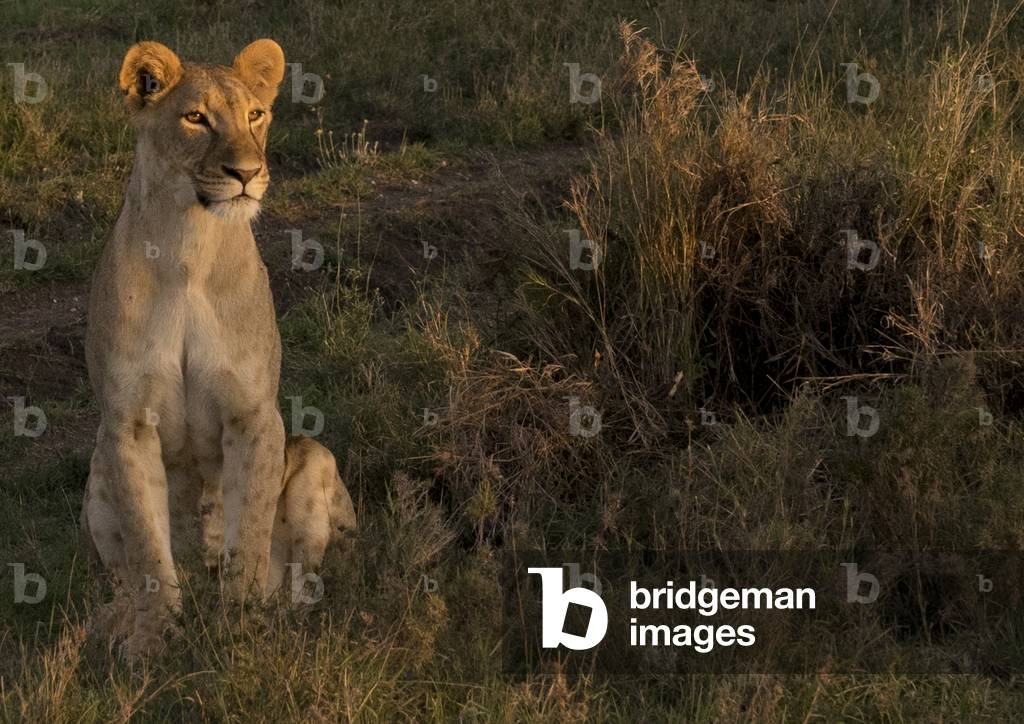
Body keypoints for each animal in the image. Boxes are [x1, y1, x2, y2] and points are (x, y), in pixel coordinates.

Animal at [81, 39, 354, 660]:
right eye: (195, 118)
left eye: (255, 115)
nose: (247, 173)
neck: (190, 245)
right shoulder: (126, 424)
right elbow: (148, 548)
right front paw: (153, 639)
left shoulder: (254, 414)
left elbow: (247, 529)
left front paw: (243, 626)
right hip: (96, 472)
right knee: (124, 576)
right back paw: (115, 623)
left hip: (315, 458)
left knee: (305, 581)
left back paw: (283, 618)